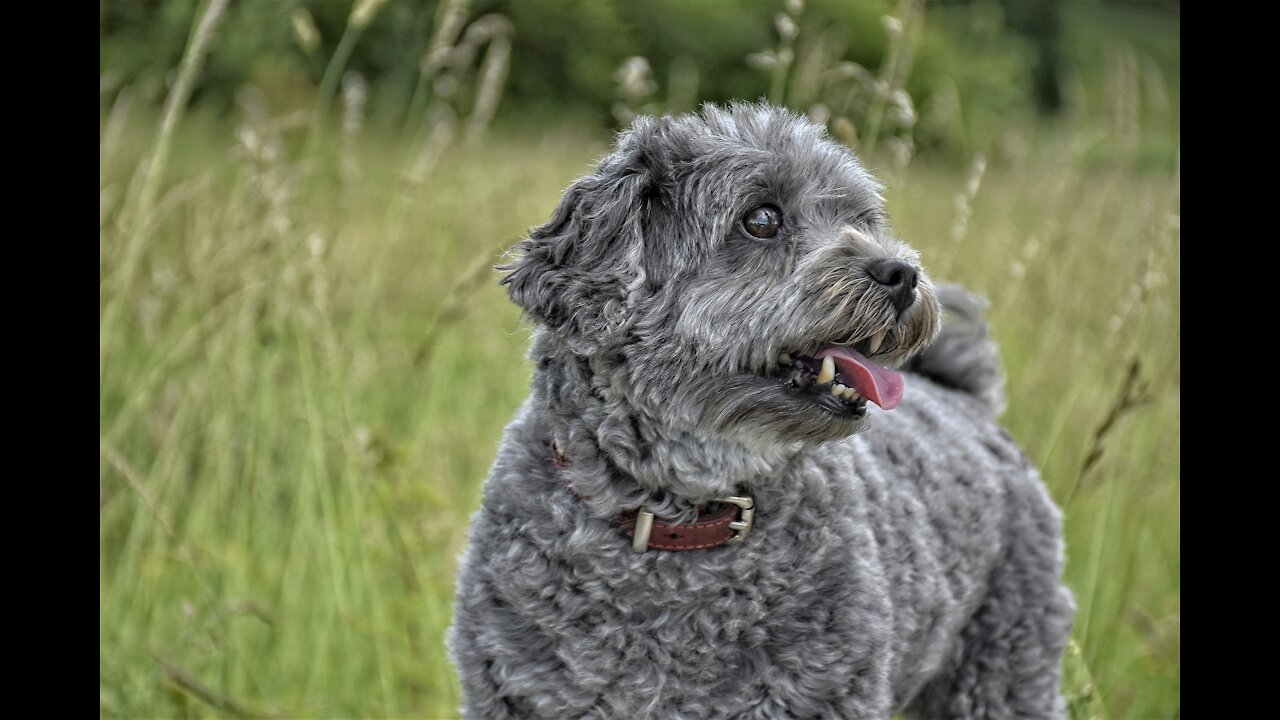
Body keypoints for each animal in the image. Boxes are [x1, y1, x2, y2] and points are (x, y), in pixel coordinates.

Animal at [445, 102, 1075, 717]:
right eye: (762, 219)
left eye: (861, 219)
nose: (902, 274)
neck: (682, 523)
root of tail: (965, 399)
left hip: (1006, 669)